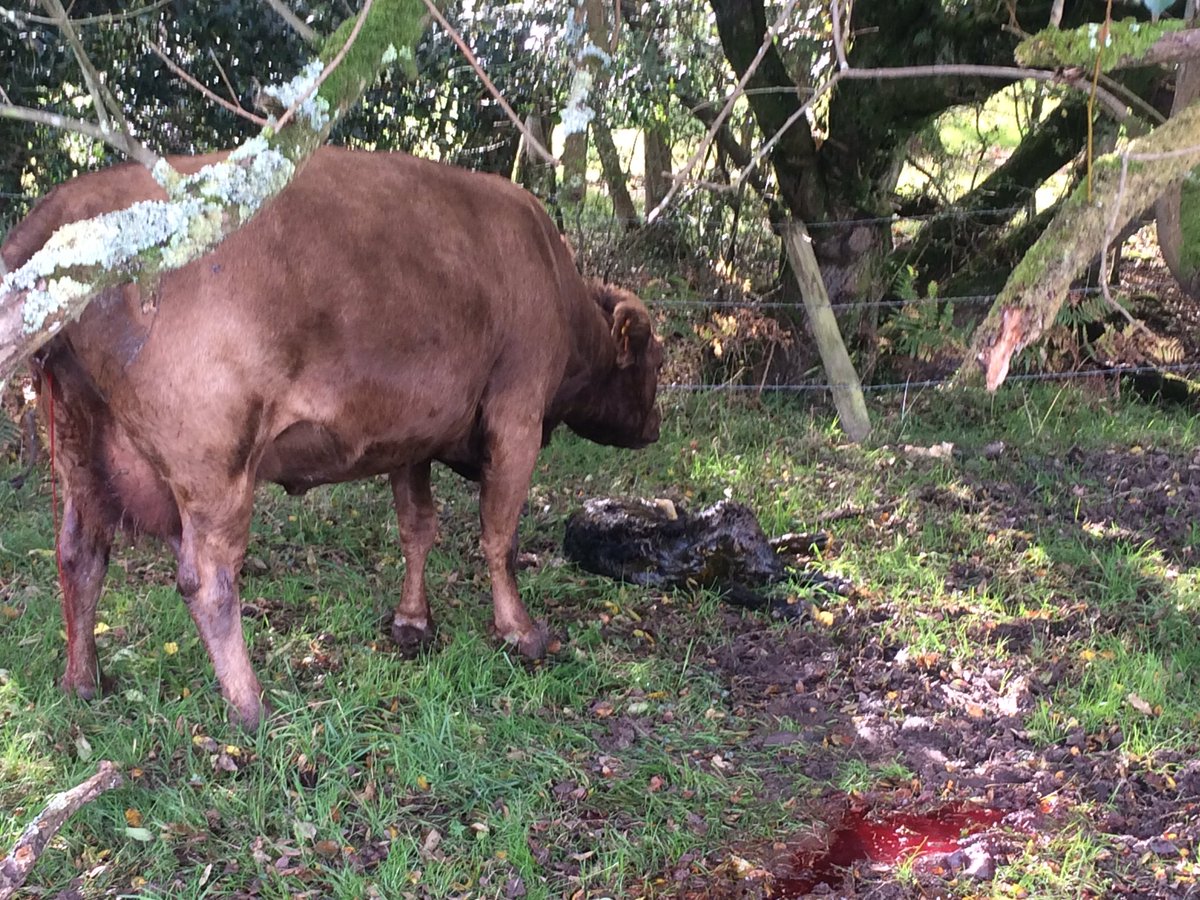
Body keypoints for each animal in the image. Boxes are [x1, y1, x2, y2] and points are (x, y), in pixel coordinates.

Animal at [1, 146, 663, 729]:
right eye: (654, 360)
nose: (653, 429)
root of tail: (64, 206)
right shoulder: (516, 415)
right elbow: (498, 535)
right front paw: (520, 631)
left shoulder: (411, 438)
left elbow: (417, 528)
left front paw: (412, 623)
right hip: (214, 468)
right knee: (207, 580)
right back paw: (251, 706)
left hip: (81, 451)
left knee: (80, 555)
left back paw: (84, 682)